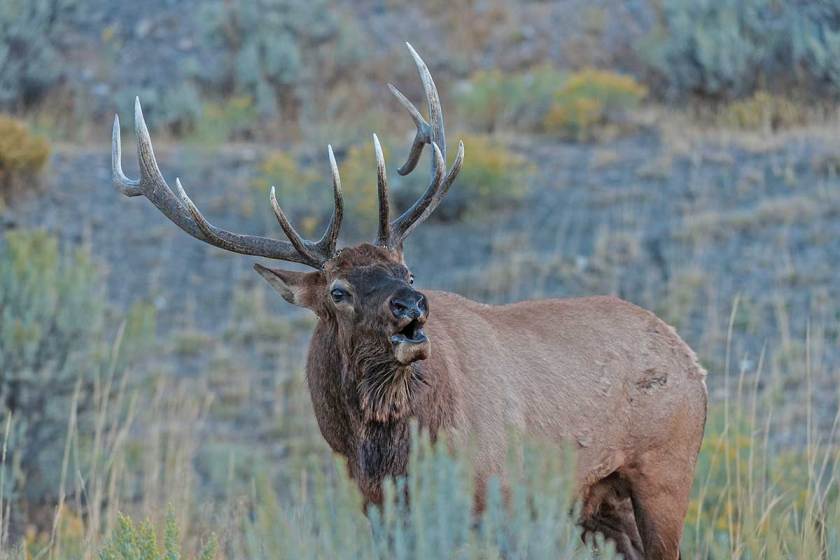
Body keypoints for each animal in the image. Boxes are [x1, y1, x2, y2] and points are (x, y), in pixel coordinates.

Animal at [111, 44, 707, 560]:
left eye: (408, 270)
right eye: (338, 291)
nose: (411, 307)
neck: (386, 454)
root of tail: (692, 360)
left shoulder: (497, 496)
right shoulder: (379, 510)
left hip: (665, 469)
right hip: (599, 500)